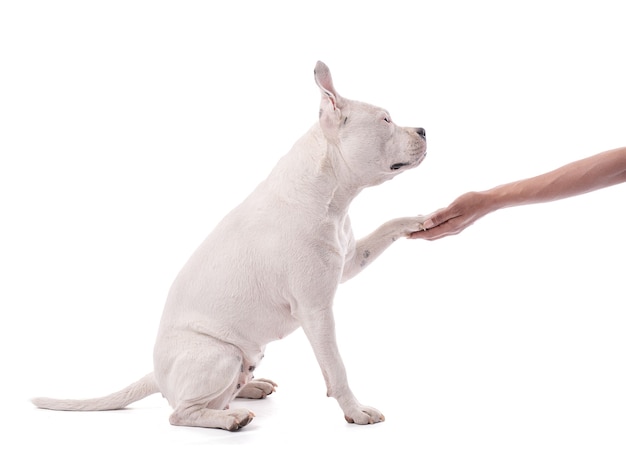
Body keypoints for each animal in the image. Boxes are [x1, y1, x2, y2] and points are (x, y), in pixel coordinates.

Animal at [33, 61, 424, 432]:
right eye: (386, 119)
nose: (423, 130)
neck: (330, 194)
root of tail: (157, 374)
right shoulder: (316, 310)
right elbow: (336, 368)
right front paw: (356, 411)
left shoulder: (349, 260)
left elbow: (386, 228)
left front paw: (420, 220)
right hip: (220, 354)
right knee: (182, 412)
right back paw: (230, 418)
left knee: (218, 394)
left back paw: (250, 388)